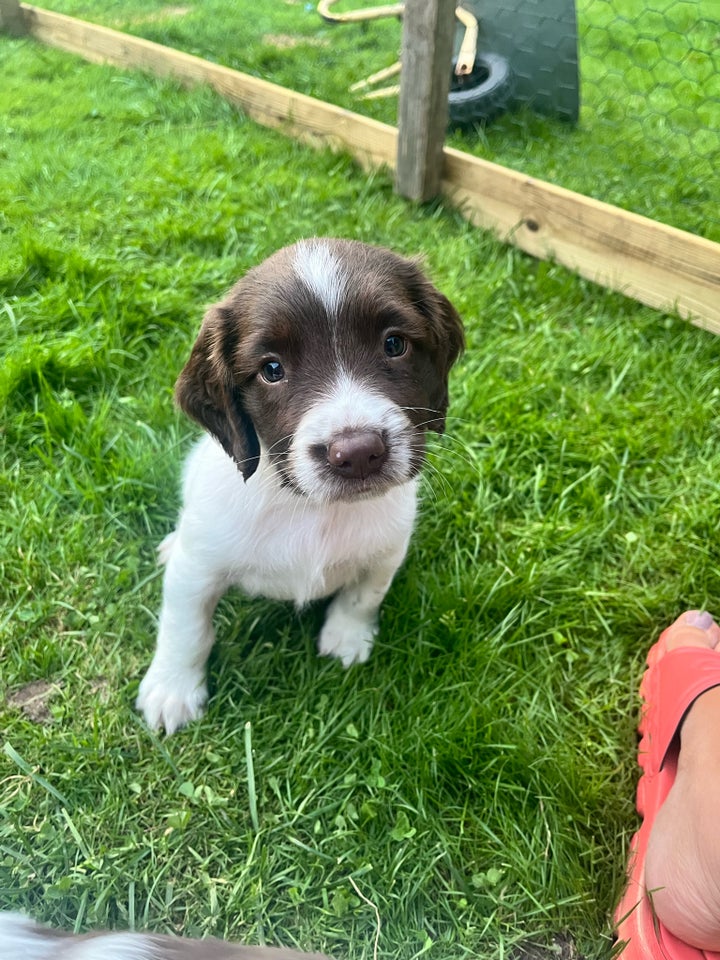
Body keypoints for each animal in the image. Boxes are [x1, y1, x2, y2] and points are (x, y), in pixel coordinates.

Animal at [136, 240, 464, 736]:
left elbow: (363, 596)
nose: (358, 453)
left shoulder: (388, 547)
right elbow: (186, 628)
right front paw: (171, 689)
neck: (312, 508)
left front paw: (346, 638)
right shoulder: (199, 569)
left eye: (394, 344)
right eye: (271, 369)